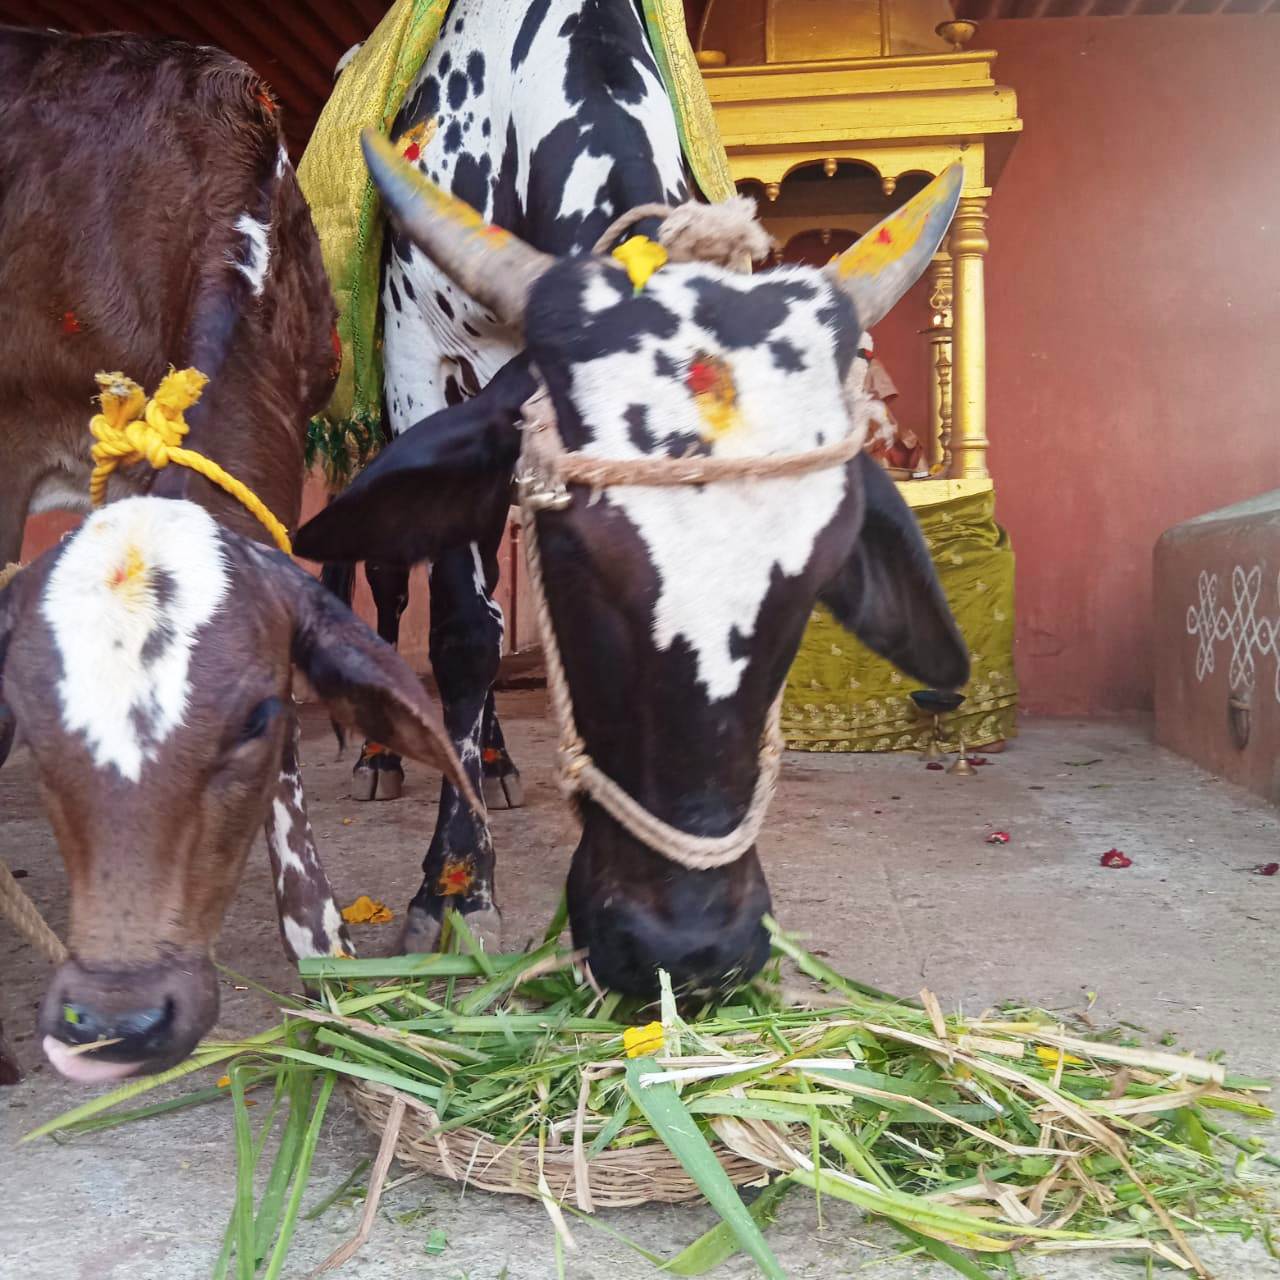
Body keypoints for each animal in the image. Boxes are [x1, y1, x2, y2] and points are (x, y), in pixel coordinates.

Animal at [295, 111, 970, 1000]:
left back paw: (497, 765)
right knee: (398, 586)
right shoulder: (419, 362)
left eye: (820, 571)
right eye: (574, 556)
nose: (691, 952)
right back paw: (388, 754)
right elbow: (464, 633)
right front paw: (455, 889)